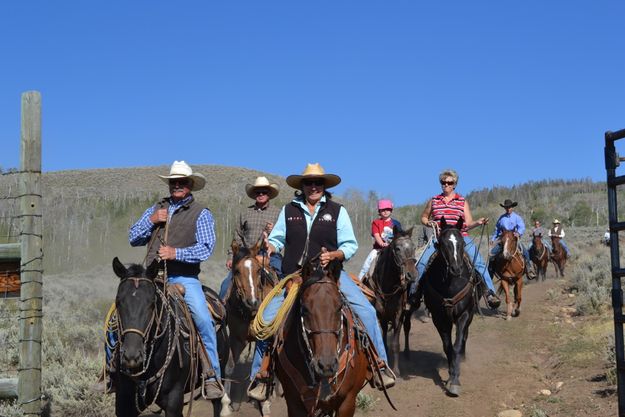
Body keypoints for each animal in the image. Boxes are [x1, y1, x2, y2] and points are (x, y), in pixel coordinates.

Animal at [223, 237, 274, 412]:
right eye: (237, 271)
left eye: (258, 270)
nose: (252, 302)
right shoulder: (236, 338)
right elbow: (230, 367)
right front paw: (227, 404)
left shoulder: (264, 339)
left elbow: (262, 368)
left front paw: (264, 401)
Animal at [364, 226, 416, 376]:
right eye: (397, 248)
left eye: (414, 247)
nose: (412, 275)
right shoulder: (380, 314)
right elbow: (383, 340)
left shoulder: (398, 315)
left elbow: (395, 344)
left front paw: (396, 370)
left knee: (407, 327)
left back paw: (408, 353)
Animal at [422, 218, 476, 396]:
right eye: (442, 243)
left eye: (462, 243)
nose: (456, 269)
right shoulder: (439, 318)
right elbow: (448, 347)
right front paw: (451, 372)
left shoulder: (464, 315)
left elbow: (457, 345)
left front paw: (455, 380)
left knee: (464, 337)